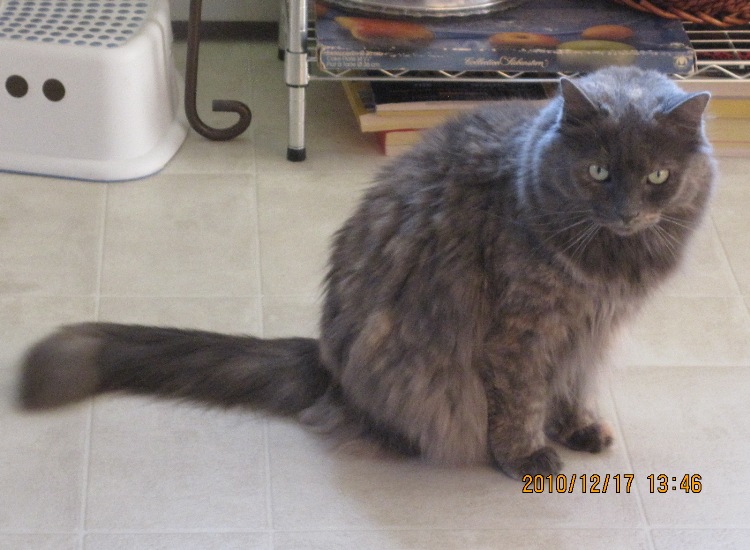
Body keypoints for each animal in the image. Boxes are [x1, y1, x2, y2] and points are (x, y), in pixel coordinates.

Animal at [16, 67, 716, 480]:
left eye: (658, 177)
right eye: (597, 172)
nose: (626, 212)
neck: (608, 268)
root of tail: (327, 361)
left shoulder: (589, 330)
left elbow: (572, 385)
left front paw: (579, 427)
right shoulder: (524, 333)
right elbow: (522, 400)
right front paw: (527, 455)